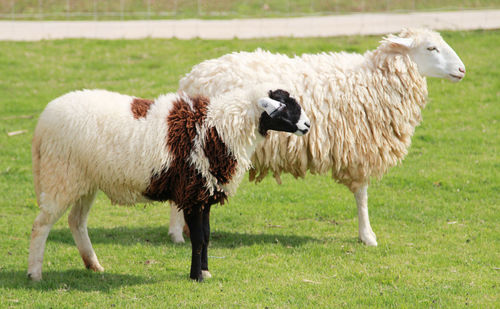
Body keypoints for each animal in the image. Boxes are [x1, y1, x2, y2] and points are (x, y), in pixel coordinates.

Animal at [28, 85, 308, 280]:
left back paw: (94, 265)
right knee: (41, 225)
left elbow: (207, 236)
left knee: (76, 221)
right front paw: (197, 276)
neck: (221, 126)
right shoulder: (193, 190)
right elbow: (198, 238)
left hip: (84, 180)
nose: (307, 125)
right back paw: (35, 273)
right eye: (285, 107)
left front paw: (205, 271)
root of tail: (42, 122)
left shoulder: (205, 192)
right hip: (59, 175)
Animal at [174, 28, 466, 245]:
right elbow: (362, 196)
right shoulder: (360, 148)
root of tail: (190, 78)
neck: (373, 80)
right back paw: (177, 234)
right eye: (431, 48)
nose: (462, 70)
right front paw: (367, 236)